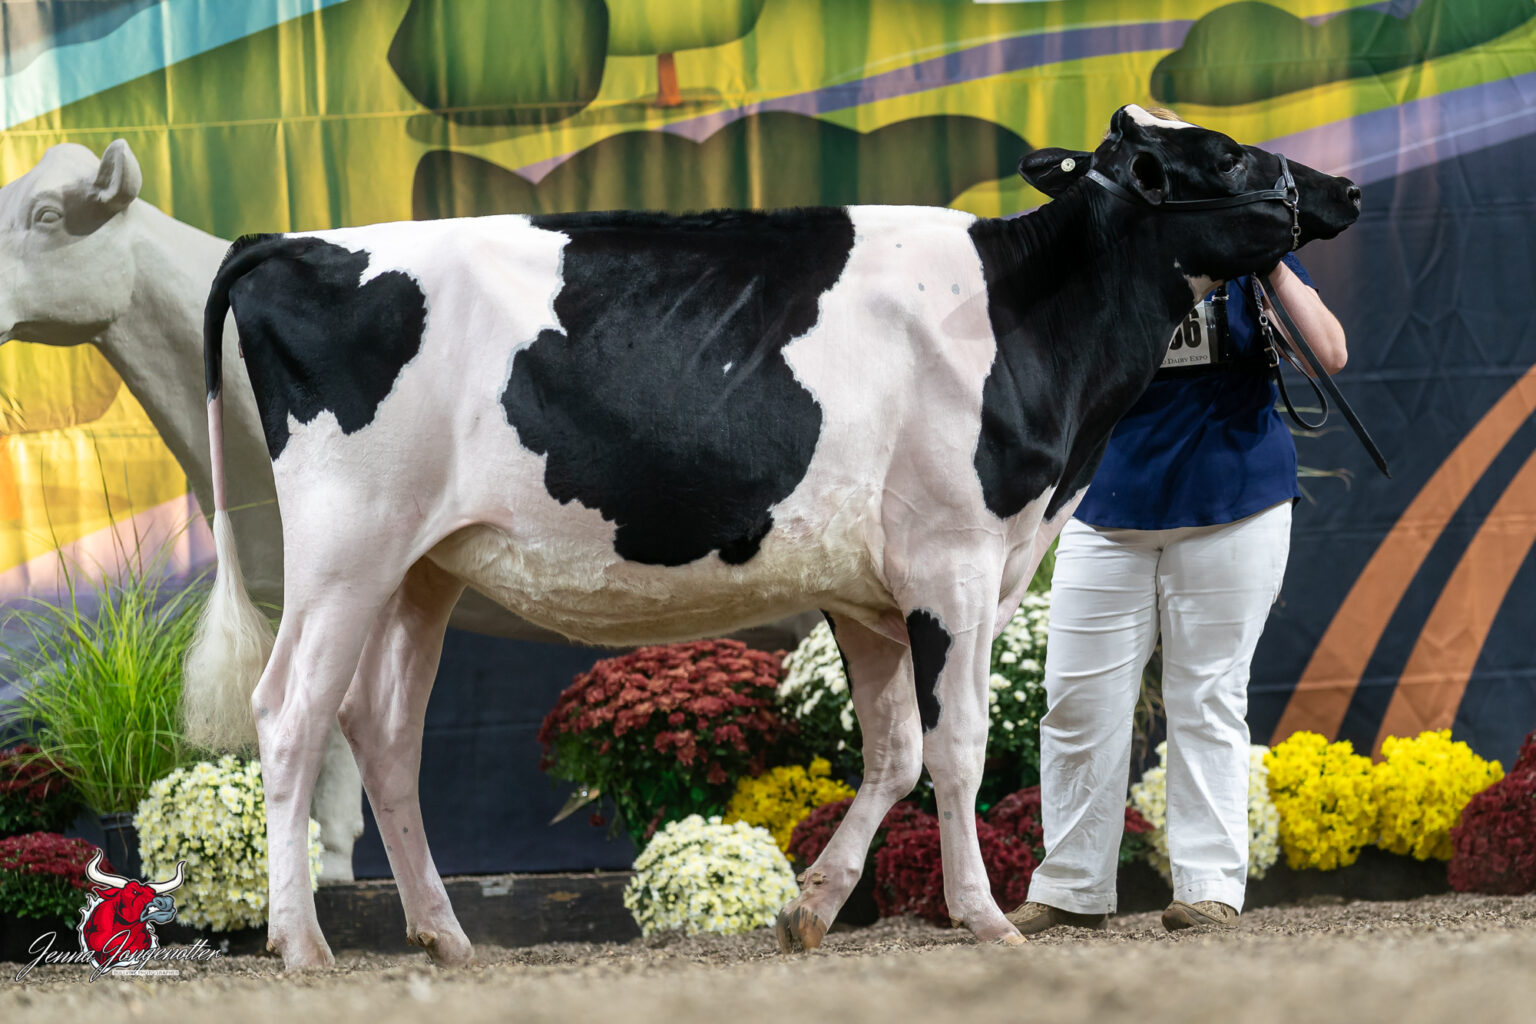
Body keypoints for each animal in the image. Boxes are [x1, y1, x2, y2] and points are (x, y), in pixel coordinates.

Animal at [183, 104, 1360, 969]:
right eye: (1223, 152)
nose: (1342, 189)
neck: (1034, 322)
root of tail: (293, 243)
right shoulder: (953, 564)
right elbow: (958, 747)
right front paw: (982, 917)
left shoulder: (870, 590)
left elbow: (891, 751)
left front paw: (810, 909)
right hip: (345, 548)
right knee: (290, 711)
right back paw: (301, 944)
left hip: (420, 568)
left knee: (385, 732)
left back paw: (444, 936)